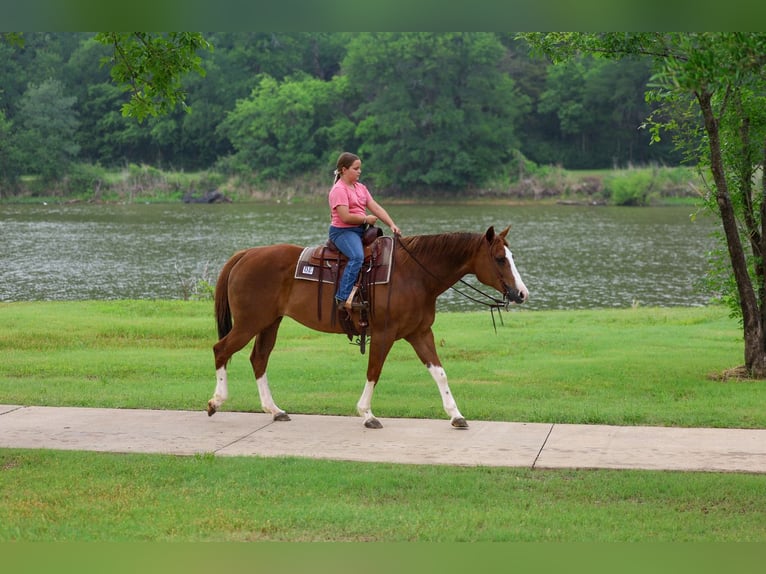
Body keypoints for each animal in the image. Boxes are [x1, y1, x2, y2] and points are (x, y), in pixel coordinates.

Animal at [207, 225, 528, 429]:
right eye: (500, 259)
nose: (522, 293)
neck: (414, 274)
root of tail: (246, 254)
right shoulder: (385, 334)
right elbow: (374, 371)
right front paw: (367, 414)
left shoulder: (419, 333)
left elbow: (439, 373)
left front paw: (456, 415)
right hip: (250, 322)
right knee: (221, 349)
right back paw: (216, 401)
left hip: (269, 323)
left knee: (259, 358)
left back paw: (274, 410)